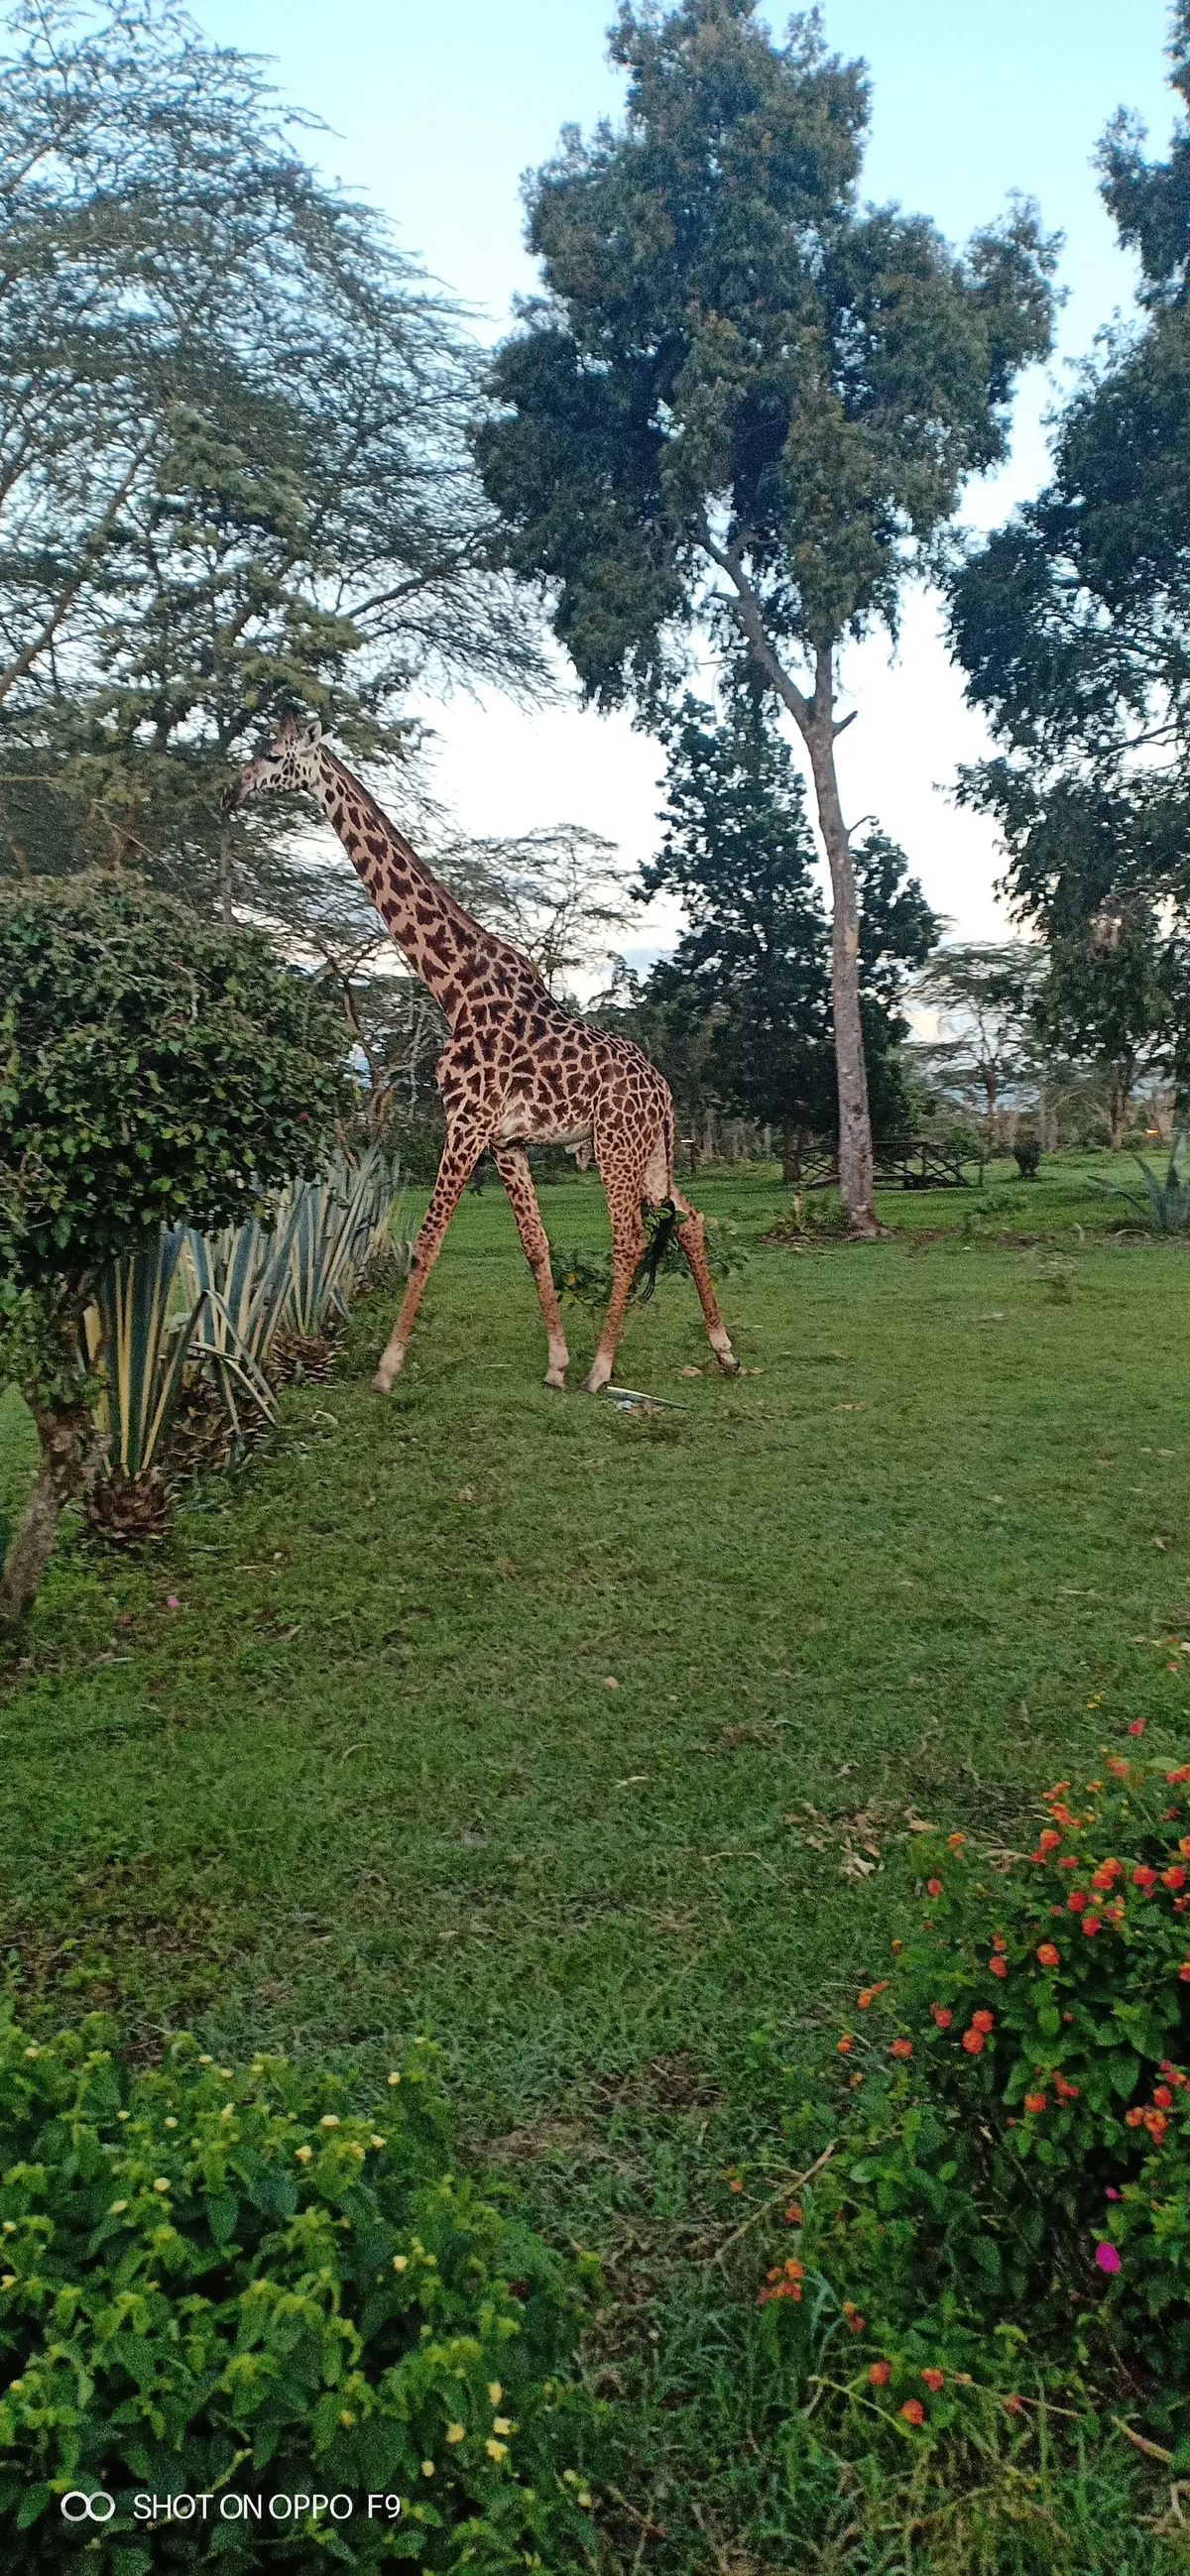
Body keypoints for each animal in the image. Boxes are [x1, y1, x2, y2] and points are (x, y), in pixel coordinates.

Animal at [224, 717, 739, 1395]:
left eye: (270, 754)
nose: (229, 792)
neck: (453, 984)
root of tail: (664, 1092)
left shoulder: (465, 1122)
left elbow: (427, 1241)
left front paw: (387, 1369)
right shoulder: (506, 1141)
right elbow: (535, 1246)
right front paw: (555, 1363)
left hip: (614, 1146)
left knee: (630, 1237)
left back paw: (604, 1369)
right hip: (651, 1151)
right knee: (691, 1219)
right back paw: (723, 1349)